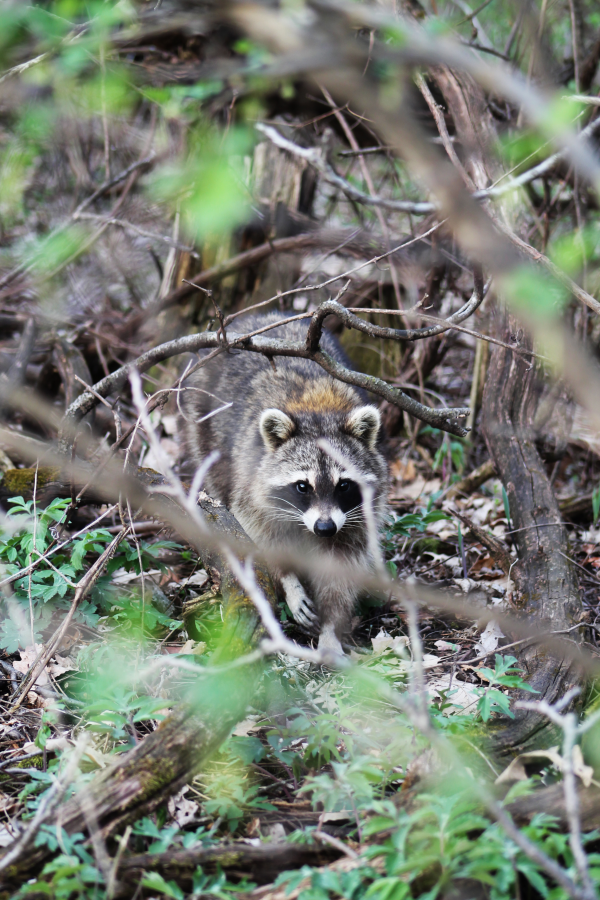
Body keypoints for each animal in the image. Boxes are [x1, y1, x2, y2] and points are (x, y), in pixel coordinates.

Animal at [183, 312, 390, 656]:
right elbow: (259, 537)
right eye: (303, 486)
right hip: (203, 421)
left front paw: (331, 629)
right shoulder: (253, 488)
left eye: (344, 485)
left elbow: (341, 570)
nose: (324, 528)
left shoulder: (354, 518)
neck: (319, 411)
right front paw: (289, 583)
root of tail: (257, 317)